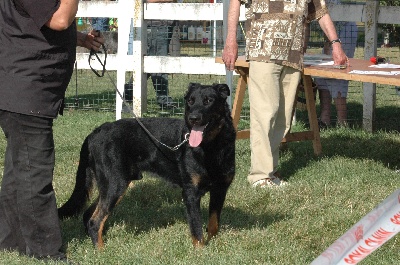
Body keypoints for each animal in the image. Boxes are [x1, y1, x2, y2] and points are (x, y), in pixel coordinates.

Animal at [57, 82, 236, 248]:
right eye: (190, 101)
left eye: (208, 100)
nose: (193, 118)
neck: (212, 146)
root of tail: (93, 133)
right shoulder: (191, 193)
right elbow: (197, 230)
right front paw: (200, 252)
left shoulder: (220, 189)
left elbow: (213, 225)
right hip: (116, 184)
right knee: (95, 221)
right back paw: (101, 251)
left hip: (111, 185)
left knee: (89, 215)